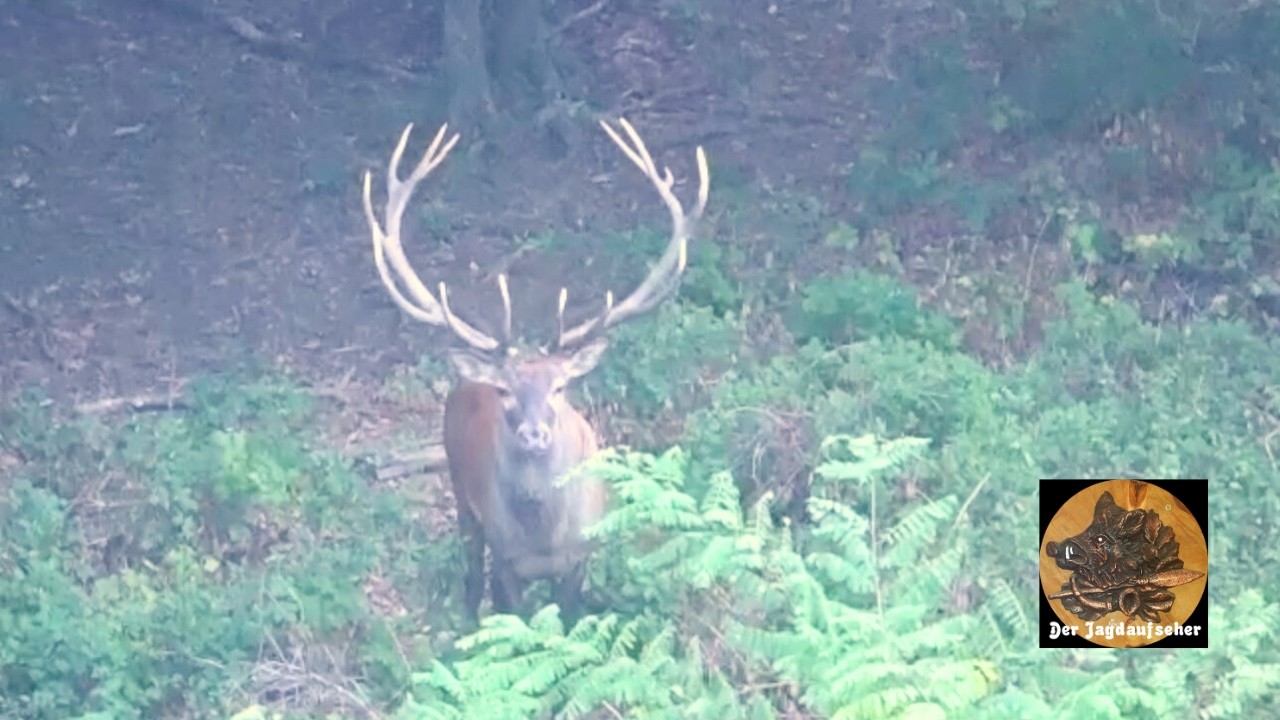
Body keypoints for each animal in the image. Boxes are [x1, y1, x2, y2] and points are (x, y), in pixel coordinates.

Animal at [361, 118, 709, 621]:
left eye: (560, 387)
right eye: (505, 391)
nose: (533, 433)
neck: (544, 538)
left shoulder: (581, 556)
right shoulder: (506, 559)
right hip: (460, 492)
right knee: (472, 574)